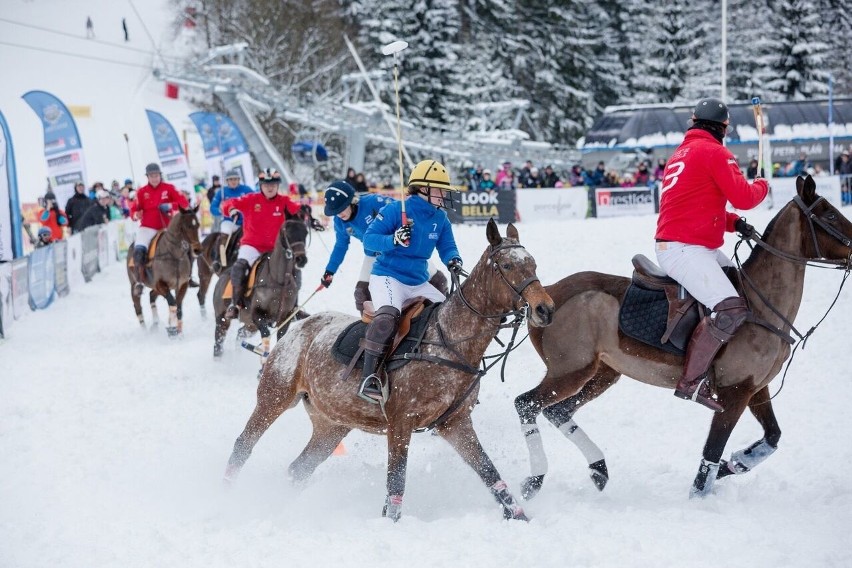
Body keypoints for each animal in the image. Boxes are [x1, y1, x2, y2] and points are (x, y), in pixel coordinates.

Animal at [127, 205, 202, 336]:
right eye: (188, 226)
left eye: (197, 224)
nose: (198, 250)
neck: (174, 255)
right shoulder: (160, 284)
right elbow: (172, 303)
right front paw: (172, 327)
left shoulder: (182, 284)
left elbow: (178, 307)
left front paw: (178, 331)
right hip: (135, 285)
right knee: (137, 306)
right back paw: (144, 331)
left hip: (155, 288)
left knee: (151, 296)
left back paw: (156, 323)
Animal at [213, 217, 310, 360]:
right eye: (288, 234)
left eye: (305, 233)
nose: (301, 259)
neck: (279, 282)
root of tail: (223, 275)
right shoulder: (257, 316)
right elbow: (266, 334)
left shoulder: (285, 318)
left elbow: (280, 339)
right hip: (222, 319)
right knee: (218, 342)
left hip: (250, 325)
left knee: (240, 333)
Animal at [223, 220, 556, 520]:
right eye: (506, 266)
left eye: (534, 264)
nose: (545, 309)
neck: (450, 341)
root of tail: (298, 325)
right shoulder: (400, 422)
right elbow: (396, 481)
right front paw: (391, 523)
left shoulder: (455, 423)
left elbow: (489, 472)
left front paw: (519, 516)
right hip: (275, 396)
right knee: (243, 444)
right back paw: (226, 494)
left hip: (331, 424)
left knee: (298, 469)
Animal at [512, 175, 852, 500]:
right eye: (830, 216)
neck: (761, 304)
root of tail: (548, 295)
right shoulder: (734, 392)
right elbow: (711, 454)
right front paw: (703, 494)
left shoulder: (756, 387)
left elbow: (771, 438)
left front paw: (732, 465)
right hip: (570, 369)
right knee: (526, 404)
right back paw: (534, 481)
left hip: (603, 372)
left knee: (557, 410)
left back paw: (598, 470)